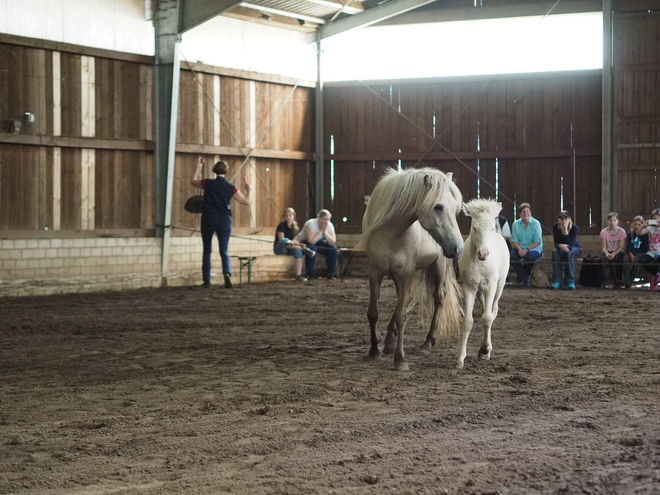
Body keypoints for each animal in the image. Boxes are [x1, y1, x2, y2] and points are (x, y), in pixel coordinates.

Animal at [360, 169, 464, 370]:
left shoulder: (406, 273)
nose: (458, 248)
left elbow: (402, 315)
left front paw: (400, 359)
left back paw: (427, 343)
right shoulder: (375, 272)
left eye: (456, 209)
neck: (390, 231)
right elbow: (373, 313)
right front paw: (374, 349)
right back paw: (389, 340)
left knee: (438, 298)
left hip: (437, 265)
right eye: (438, 207)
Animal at [458, 200, 510, 370]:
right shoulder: (469, 288)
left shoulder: (490, 287)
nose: (483, 254)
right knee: (483, 310)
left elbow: (487, 318)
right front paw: (460, 359)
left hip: (499, 286)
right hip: (480, 291)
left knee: (493, 311)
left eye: (492, 228)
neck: (478, 263)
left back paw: (486, 351)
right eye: (475, 228)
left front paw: (485, 349)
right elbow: (468, 321)